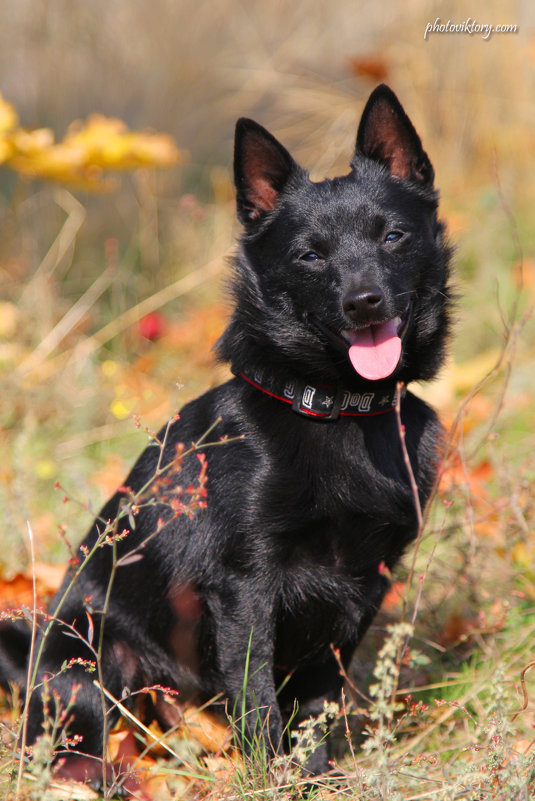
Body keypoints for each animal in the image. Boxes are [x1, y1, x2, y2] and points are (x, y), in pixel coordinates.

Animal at [0, 84, 452, 784]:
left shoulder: (360, 589)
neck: (337, 409)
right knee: (75, 747)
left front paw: (315, 776)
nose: (365, 302)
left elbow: (317, 703)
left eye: (393, 236)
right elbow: (258, 694)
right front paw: (272, 780)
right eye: (310, 255)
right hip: (90, 662)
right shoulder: (246, 586)